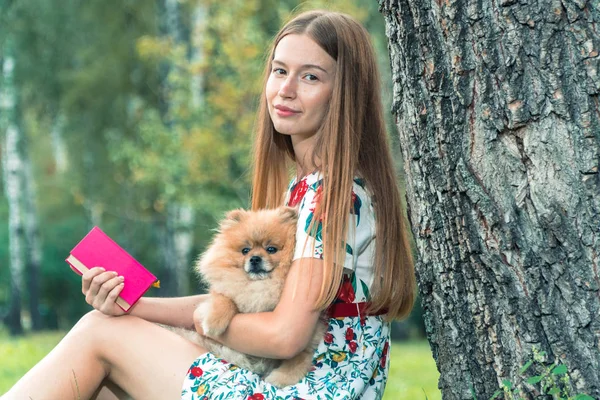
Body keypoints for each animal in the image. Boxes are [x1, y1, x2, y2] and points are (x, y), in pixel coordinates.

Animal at [186, 206, 324, 388]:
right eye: (245, 250)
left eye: (271, 249)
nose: (255, 259)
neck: (261, 286)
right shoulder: (227, 290)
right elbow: (224, 299)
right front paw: (214, 322)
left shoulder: (309, 333)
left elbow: (299, 357)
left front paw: (282, 377)